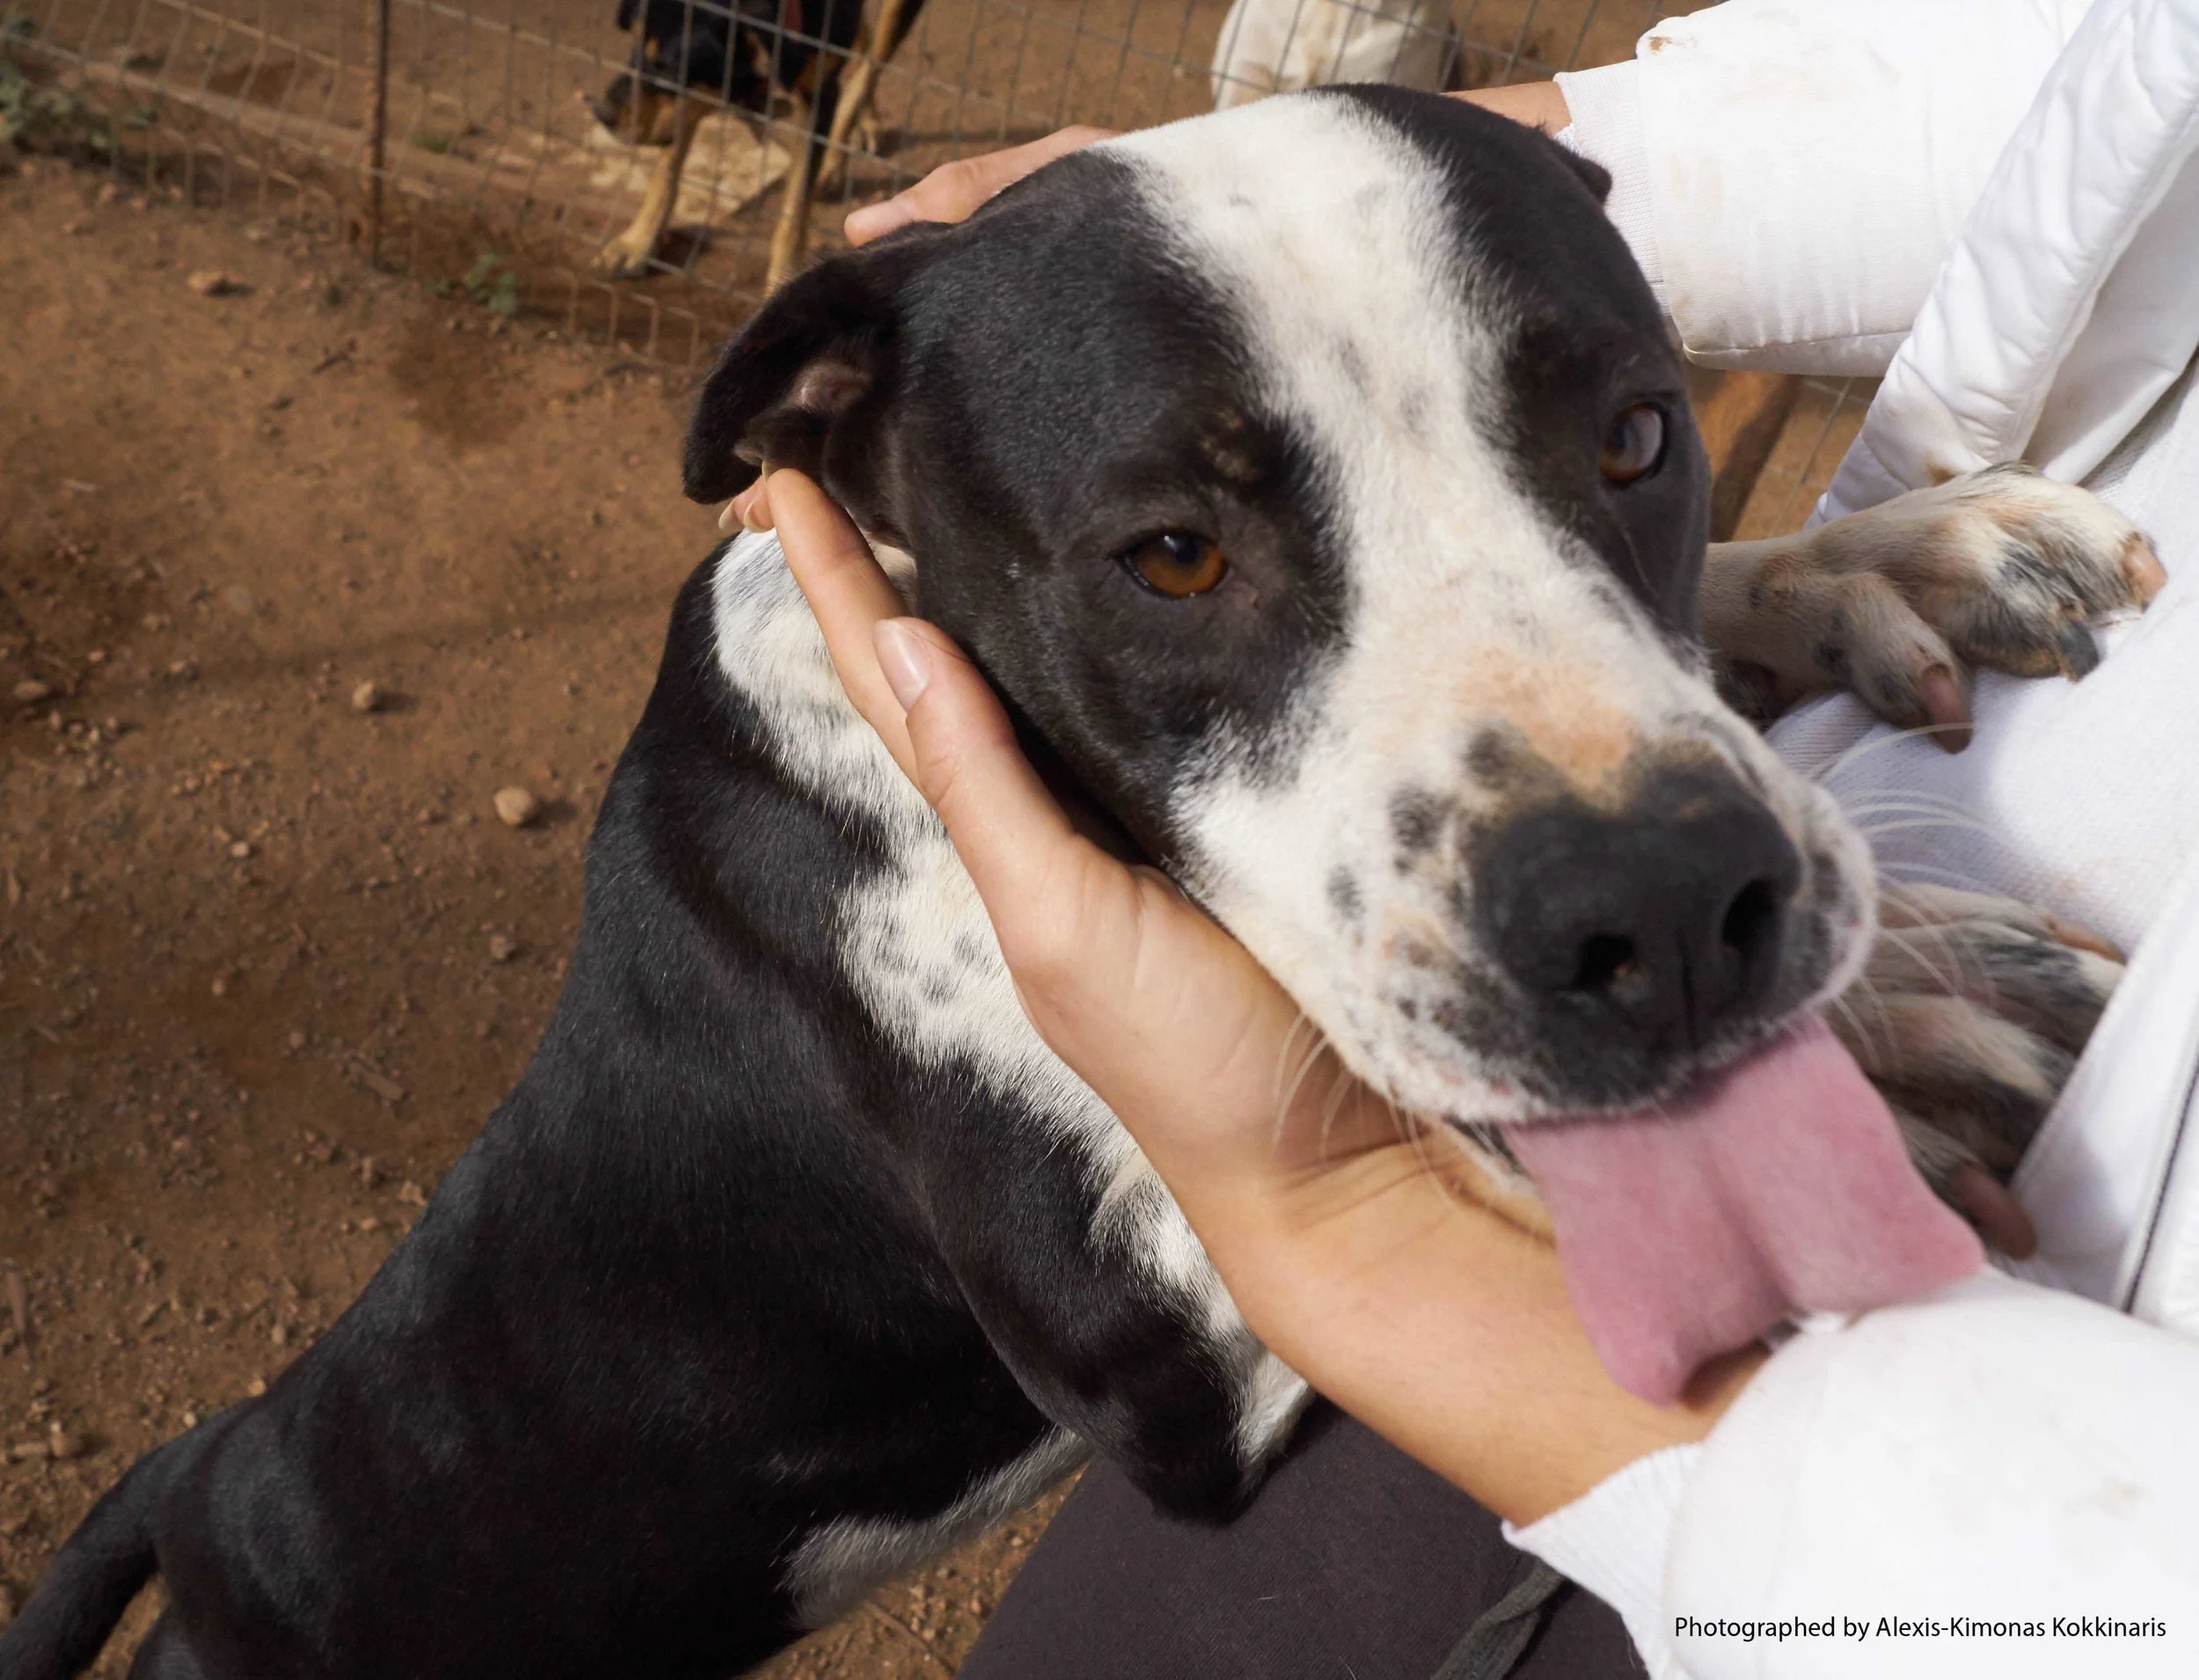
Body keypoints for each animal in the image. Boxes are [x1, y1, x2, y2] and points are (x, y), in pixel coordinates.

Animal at [4, 88, 2155, 1678]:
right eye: (1172, 555)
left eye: (1640, 434)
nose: (1675, 915)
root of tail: (212, 1482)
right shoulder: (1155, 1359)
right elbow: (1369, 1094)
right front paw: (1918, 1022)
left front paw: (1888, 559)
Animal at [588, 0, 920, 288]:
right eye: (634, 41)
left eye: (667, 69)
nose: (603, 114)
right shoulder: (686, 104)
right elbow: (666, 170)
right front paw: (637, 242)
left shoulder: (818, 97)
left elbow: (796, 204)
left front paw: (786, 276)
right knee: (866, 42)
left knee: (872, 63)